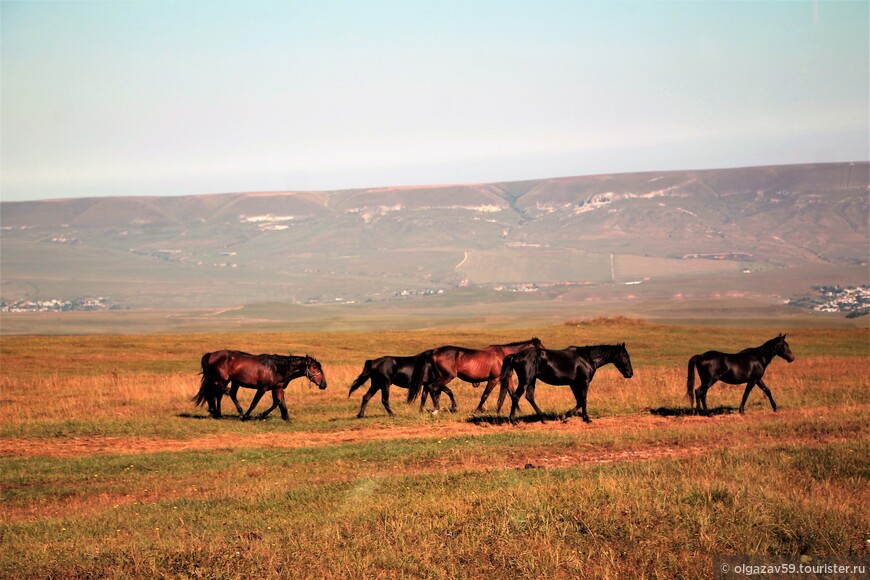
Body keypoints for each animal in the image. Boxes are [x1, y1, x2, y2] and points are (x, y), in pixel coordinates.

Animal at [406, 338, 540, 414]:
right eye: (540, 347)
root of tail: (434, 351)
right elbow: (485, 395)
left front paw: (518, 410)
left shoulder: (507, 378)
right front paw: (478, 409)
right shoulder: (494, 379)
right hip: (446, 377)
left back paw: (424, 410)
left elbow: (512, 394)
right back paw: (436, 409)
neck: (502, 355)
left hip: (439, 377)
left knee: (429, 390)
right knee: (433, 388)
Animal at [500, 342, 636, 424]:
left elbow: (579, 400)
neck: (588, 358)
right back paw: (513, 421)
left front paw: (570, 416)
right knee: (516, 396)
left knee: (529, 397)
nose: (630, 374)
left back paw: (543, 419)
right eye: (625, 356)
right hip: (526, 380)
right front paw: (583, 418)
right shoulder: (584, 382)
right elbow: (583, 400)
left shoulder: (574, 384)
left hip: (532, 380)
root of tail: (515, 355)